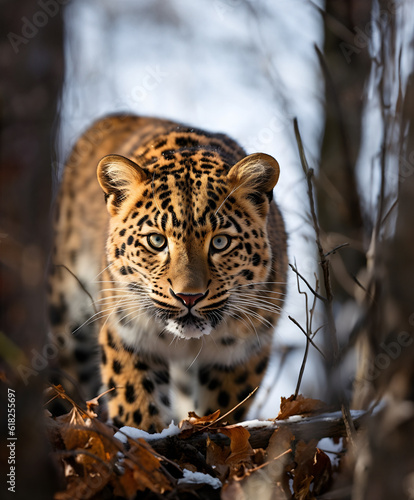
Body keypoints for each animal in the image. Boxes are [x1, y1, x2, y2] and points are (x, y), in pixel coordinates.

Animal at [48, 112, 286, 430]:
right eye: (157, 241)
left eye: (220, 242)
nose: (189, 297)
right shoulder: (128, 338)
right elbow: (136, 407)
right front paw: (143, 436)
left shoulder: (242, 352)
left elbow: (222, 410)